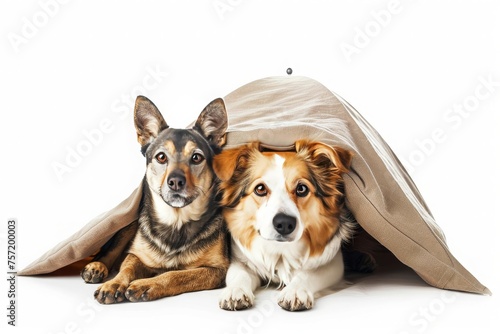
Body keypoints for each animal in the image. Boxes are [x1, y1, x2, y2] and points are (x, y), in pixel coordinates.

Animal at [81, 95, 229, 304]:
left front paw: (146, 284)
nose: (175, 182)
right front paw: (114, 284)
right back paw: (97, 267)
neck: (176, 222)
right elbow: (126, 267)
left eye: (196, 157)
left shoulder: (217, 270)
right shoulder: (137, 255)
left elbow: (175, 275)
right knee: (110, 251)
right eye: (161, 157)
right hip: (129, 224)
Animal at [215, 140, 356, 310]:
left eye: (302, 188)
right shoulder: (240, 261)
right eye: (260, 189)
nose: (284, 223)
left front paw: (295, 291)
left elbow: (307, 274)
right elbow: (239, 274)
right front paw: (236, 291)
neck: (280, 250)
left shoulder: (333, 263)